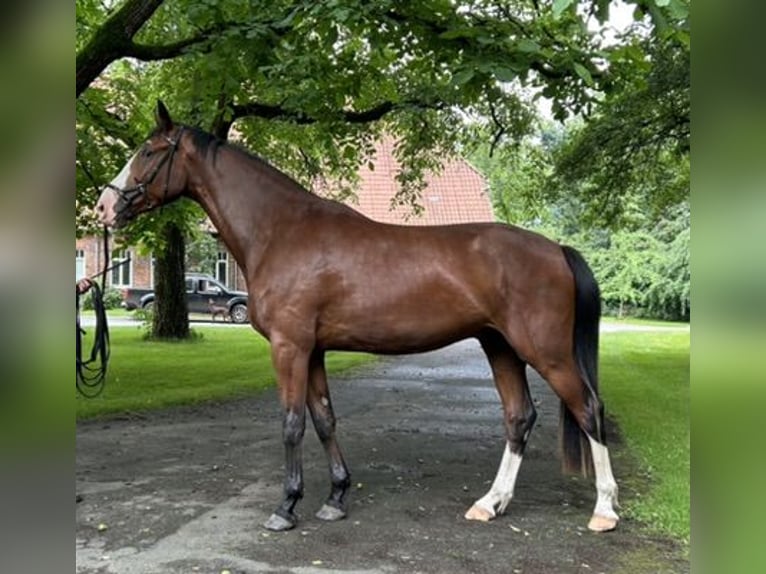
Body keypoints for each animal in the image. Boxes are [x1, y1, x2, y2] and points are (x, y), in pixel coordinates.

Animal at [96, 102, 620, 536]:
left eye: (148, 151)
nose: (104, 205)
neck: (281, 231)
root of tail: (556, 249)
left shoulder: (290, 347)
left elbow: (292, 423)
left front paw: (286, 507)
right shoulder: (313, 350)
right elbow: (325, 419)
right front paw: (335, 498)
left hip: (546, 352)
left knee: (589, 409)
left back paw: (603, 511)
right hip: (501, 347)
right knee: (519, 417)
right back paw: (491, 503)